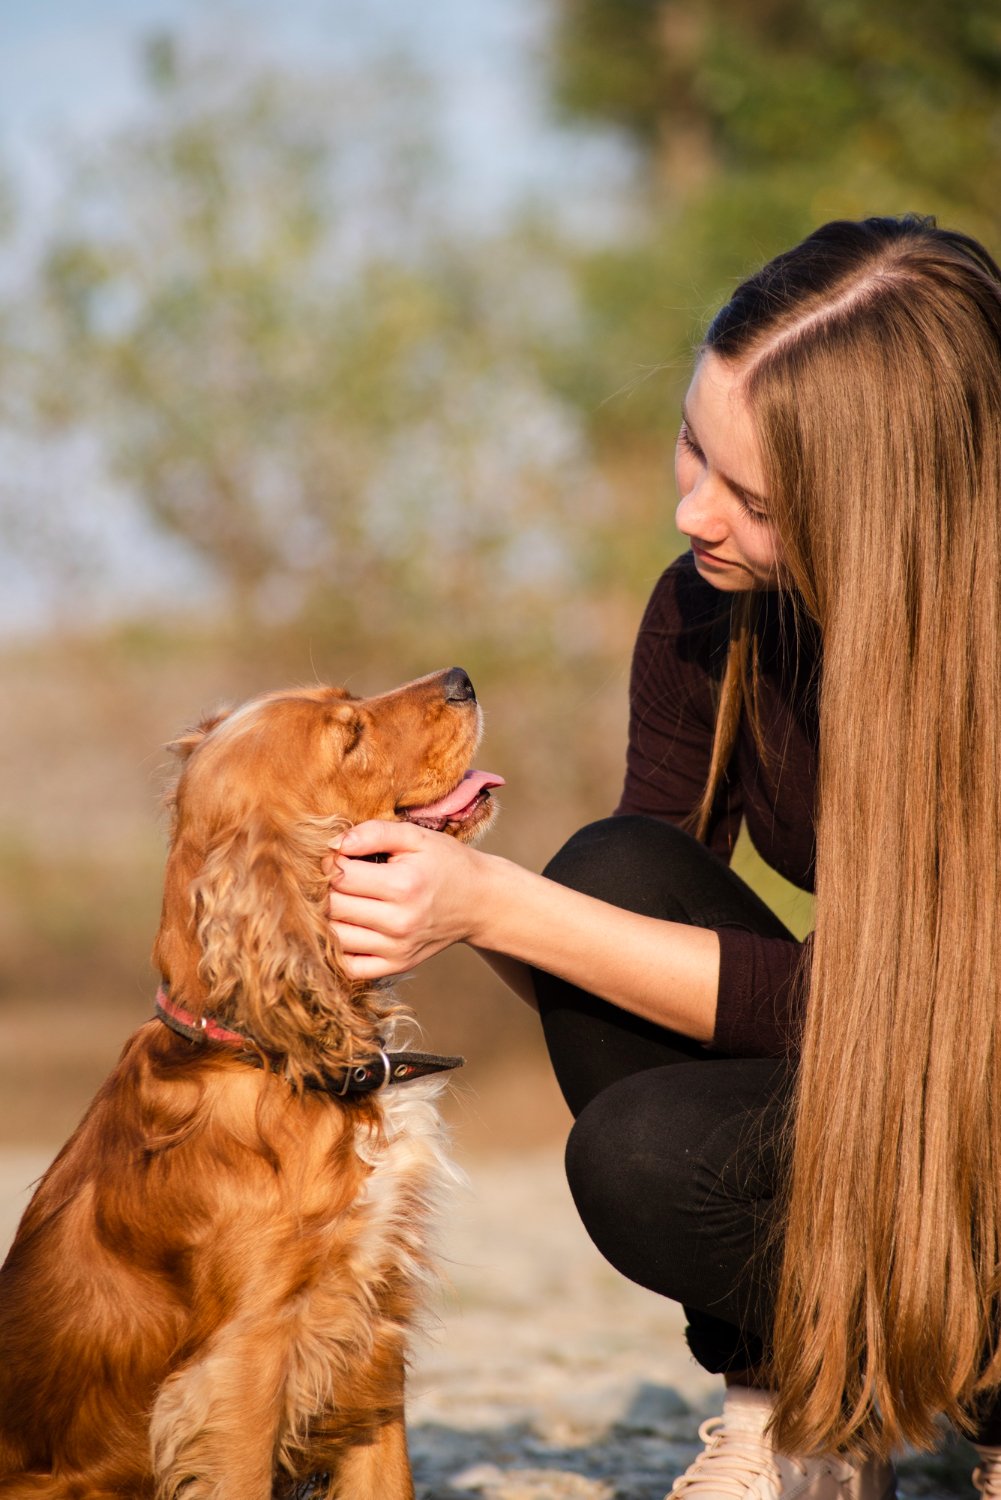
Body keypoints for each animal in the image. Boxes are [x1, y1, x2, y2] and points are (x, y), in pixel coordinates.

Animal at [0, 669, 501, 1500]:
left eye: (350, 696)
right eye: (350, 737)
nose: (461, 679)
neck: (265, 1054)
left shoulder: (371, 1327)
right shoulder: (244, 1362)